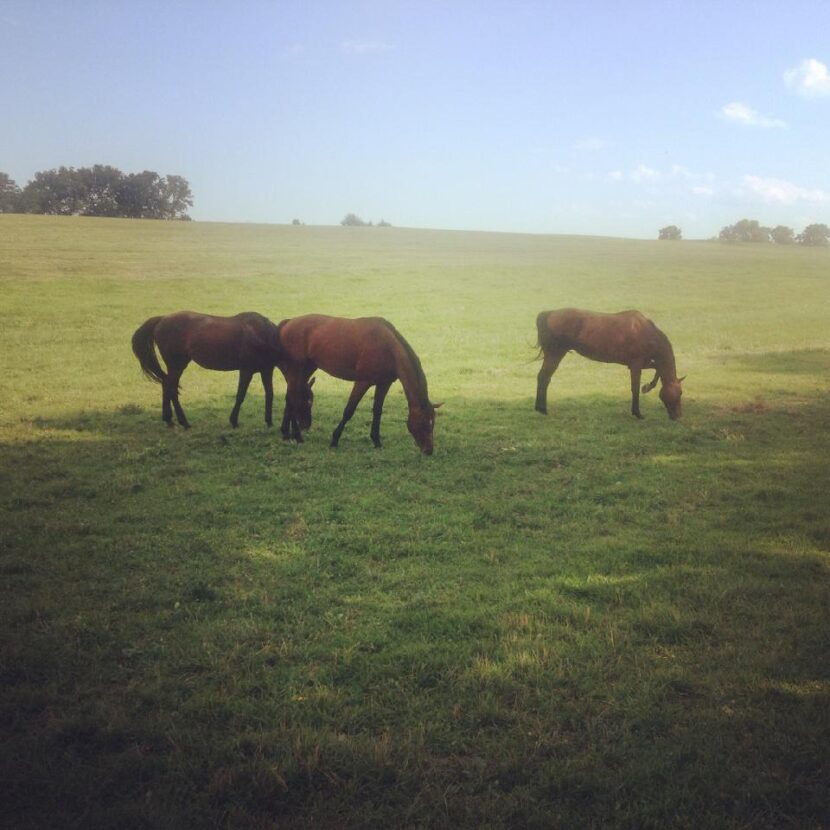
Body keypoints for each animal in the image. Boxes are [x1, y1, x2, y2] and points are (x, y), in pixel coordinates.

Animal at [131, 310, 313, 434]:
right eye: (306, 400)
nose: (306, 425)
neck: (263, 336)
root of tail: (162, 319)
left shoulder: (266, 370)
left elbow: (269, 394)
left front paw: (268, 421)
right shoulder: (246, 370)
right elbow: (240, 395)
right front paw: (234, 421)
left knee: (166, 386)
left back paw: (168, 420)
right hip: (177, 365)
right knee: (171, 388)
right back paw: (184, 422)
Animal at [277, 314, 440, 454]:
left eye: (433, 422)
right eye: (425, 422)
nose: (429, 450)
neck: (387, 346)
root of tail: (288, 323)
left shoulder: (384, 383)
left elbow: (377, 411)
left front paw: (376, 441)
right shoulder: (363, 382)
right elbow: (349, 410)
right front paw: (334, 440)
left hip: (307, 368)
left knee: (292, 396)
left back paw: (287, 433)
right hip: (297, 368)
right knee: (292, 397)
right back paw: (297, 436)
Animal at [535, 308, 684, 419]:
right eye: (680, 393)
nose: (678, 416)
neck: (645, 331)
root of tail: (548, 314)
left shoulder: (642, 363)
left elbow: (657, 370)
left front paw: (647, 387)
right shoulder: (636, 365)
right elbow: (635, 388)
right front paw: (637, 413)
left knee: (543, 377)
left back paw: (539, 408)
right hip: (555, 354)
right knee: (544, 377)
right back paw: (542, 409)